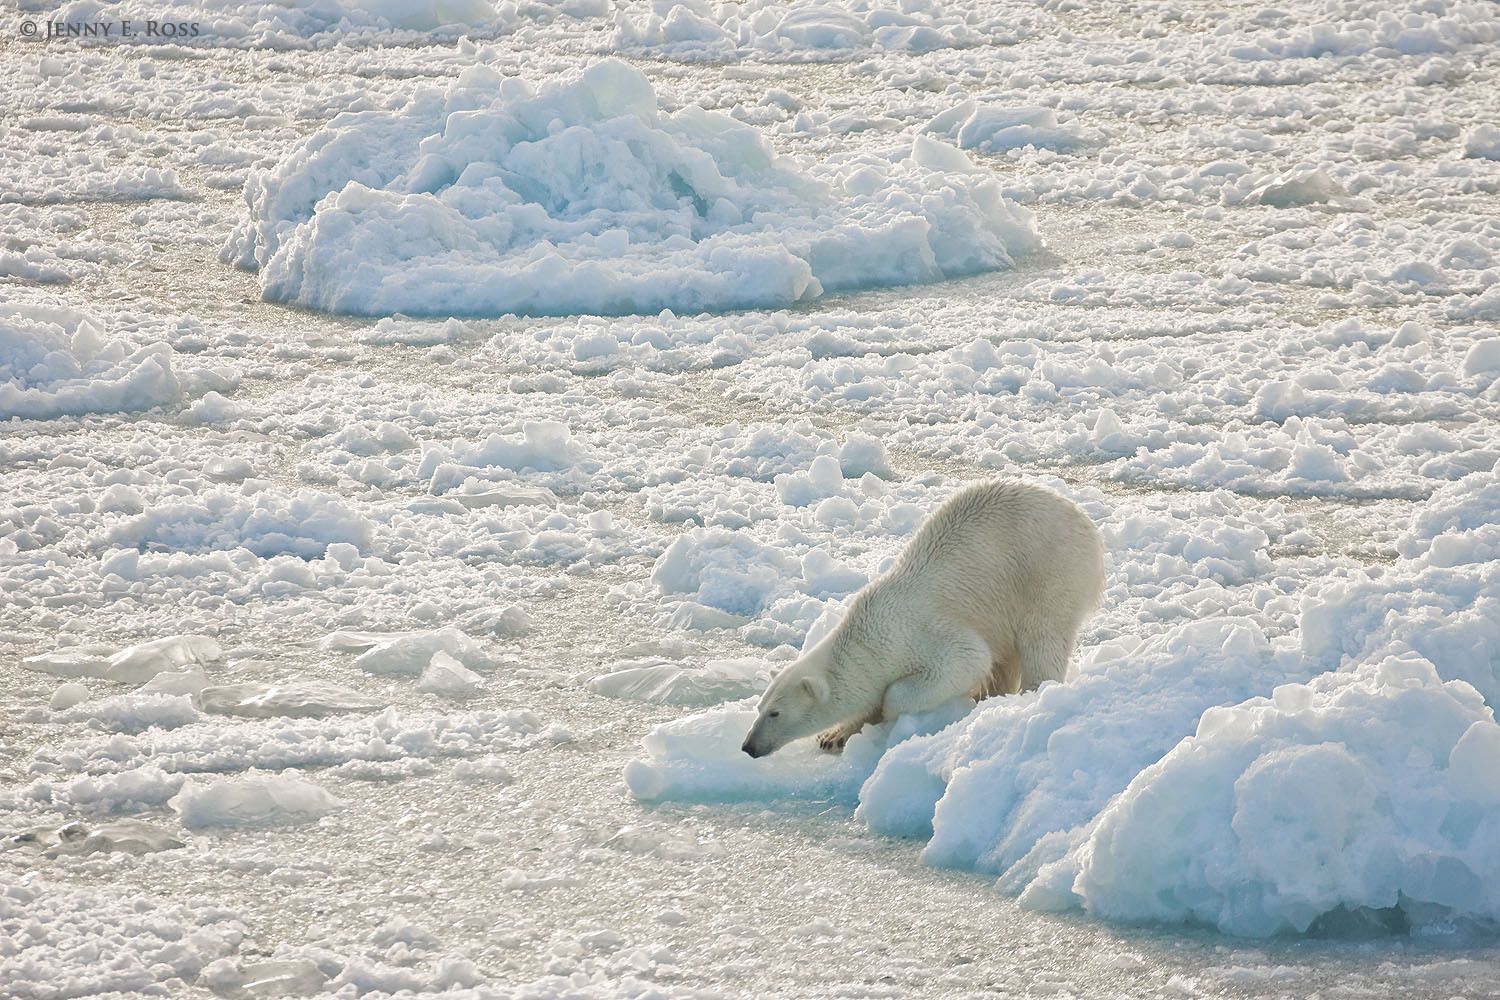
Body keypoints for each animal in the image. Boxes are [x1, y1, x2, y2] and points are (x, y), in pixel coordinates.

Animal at [741, 479, 1105, 758]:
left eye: (775, 712)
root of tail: (1087, 524)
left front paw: (886, 713)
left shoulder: (921, 635)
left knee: (1042, 640)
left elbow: (965, 660)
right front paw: (834, 736)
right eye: (759, 708)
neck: (869, 635)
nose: (747, 746)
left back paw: (1028, 694)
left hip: (1049, 572)